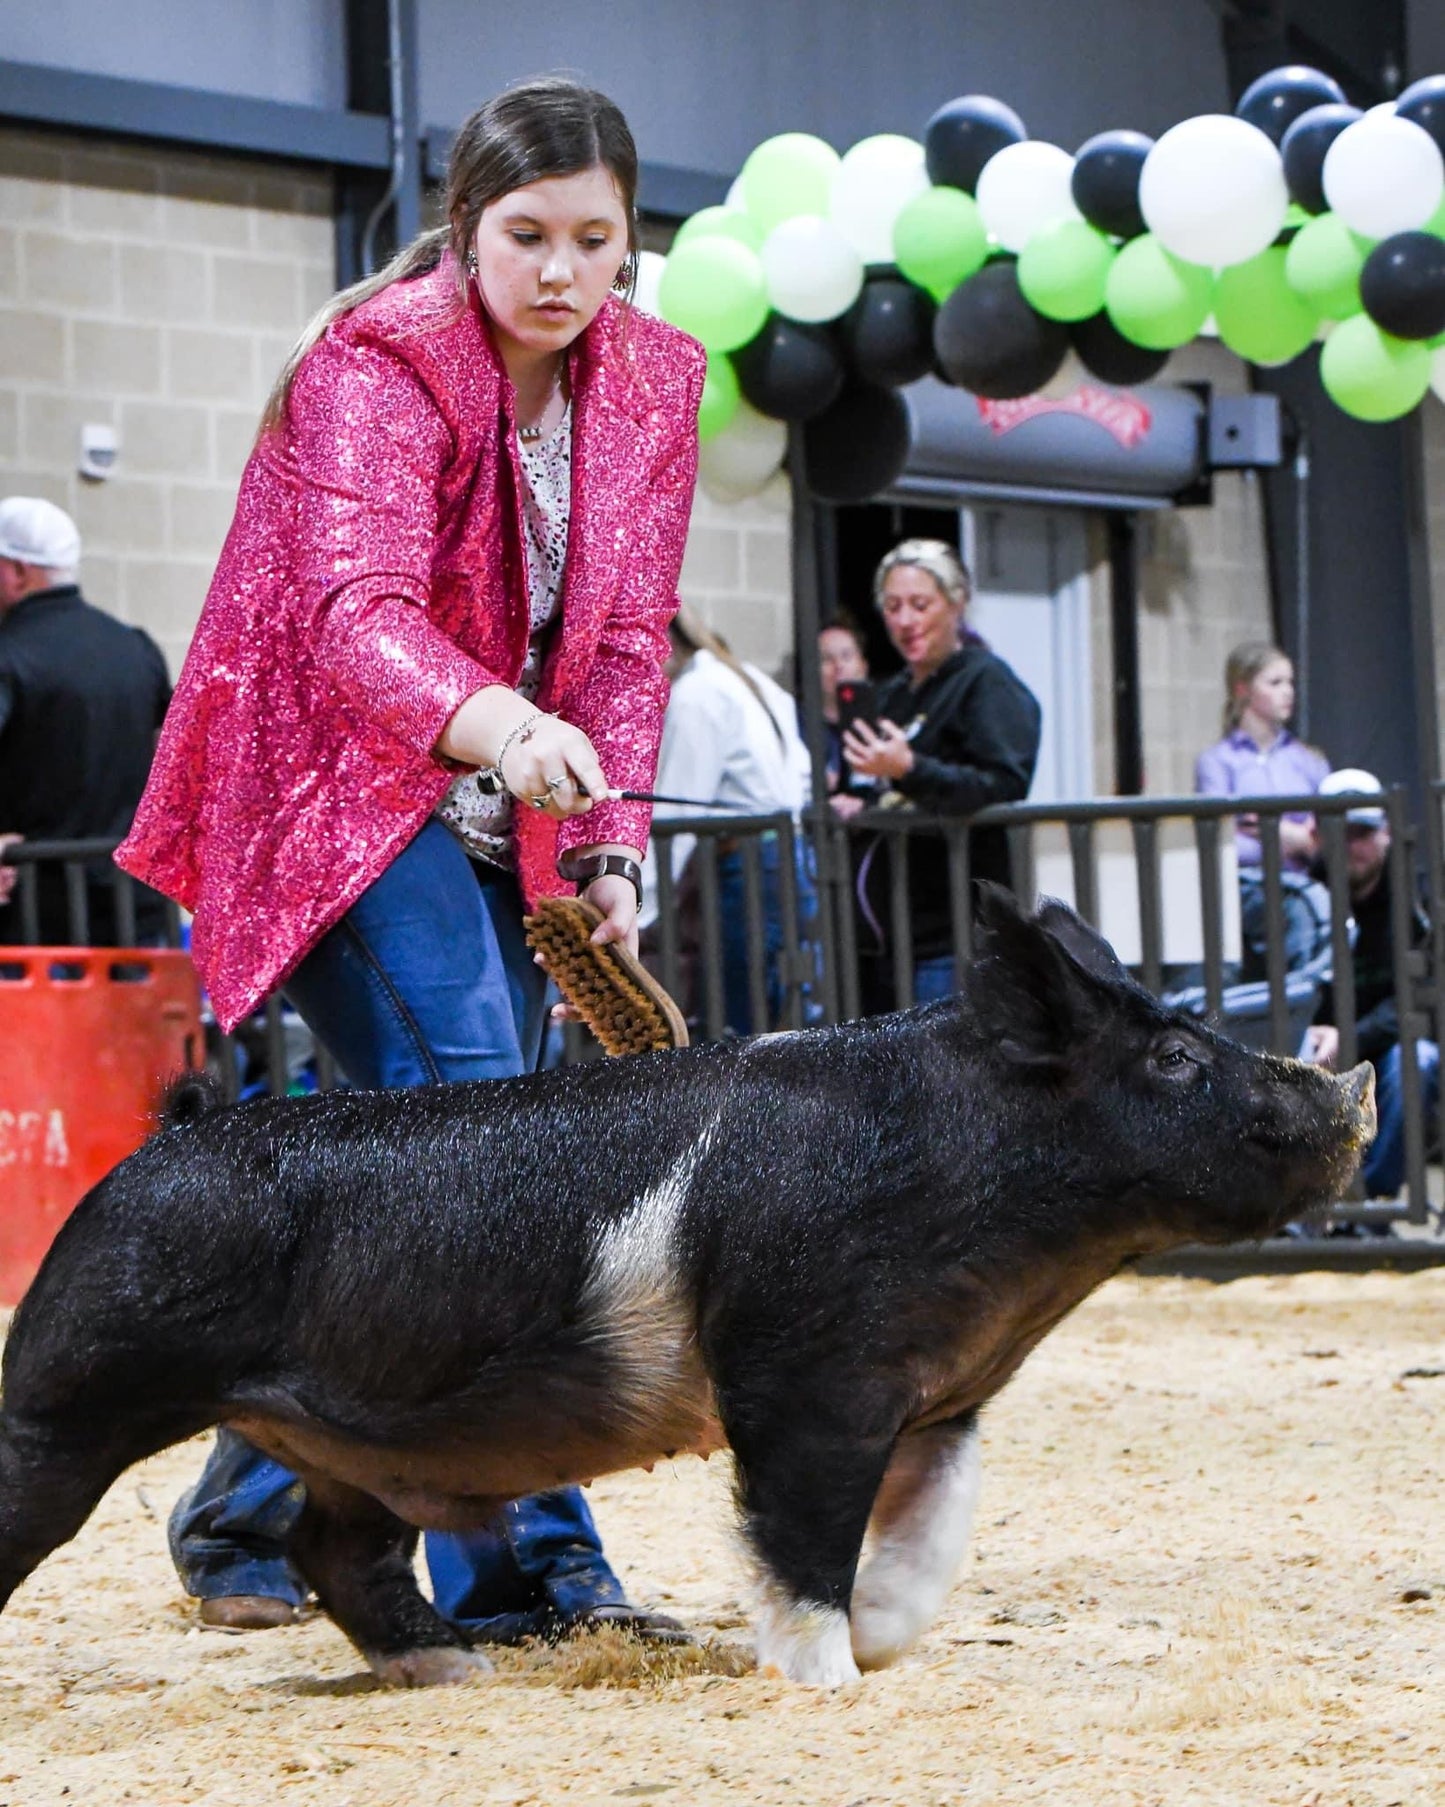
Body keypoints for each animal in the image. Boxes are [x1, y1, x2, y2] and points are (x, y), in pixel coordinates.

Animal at [0, 896, 1372, 1684]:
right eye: (1175, 1056)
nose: (1349, 1090)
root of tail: (167, 1134)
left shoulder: (940, 1395)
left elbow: (926, 1539)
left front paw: (882, 1641)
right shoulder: (800, 1379)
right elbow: (800, 1541)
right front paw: (822, 1676)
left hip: (349, 1437)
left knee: (334, 1547)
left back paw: (455, 1671)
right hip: (70, 1391)